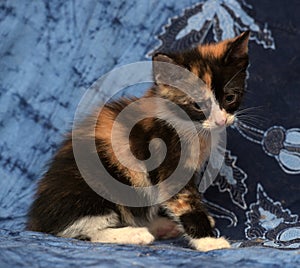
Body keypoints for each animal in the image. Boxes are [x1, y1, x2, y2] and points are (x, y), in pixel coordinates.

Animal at [27, 31, 251, 251]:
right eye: (197, 105)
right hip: (98, 183)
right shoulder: (168, 161)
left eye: (229, 98)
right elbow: (185, 202)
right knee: (78, 231)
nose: (221, 121)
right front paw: (208, 241)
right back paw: (135, 234)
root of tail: (36, 220)